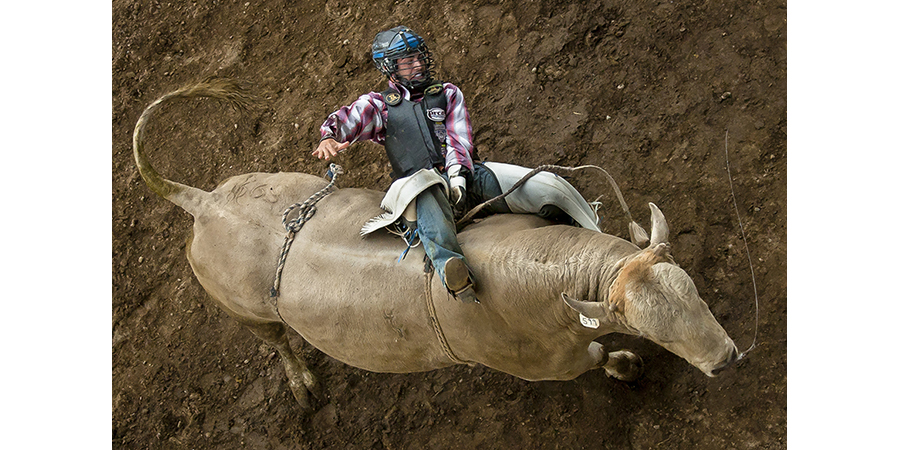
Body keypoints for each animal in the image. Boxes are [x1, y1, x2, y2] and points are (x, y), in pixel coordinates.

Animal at [134, 78, 740, 412]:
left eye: (695, 293)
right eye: (653, 332)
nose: (726, 360)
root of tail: (204, 202)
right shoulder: (549, 363)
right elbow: (596, 360)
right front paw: (626, 366)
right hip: (242, 310)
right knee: (276, 339)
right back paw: (302, 384)